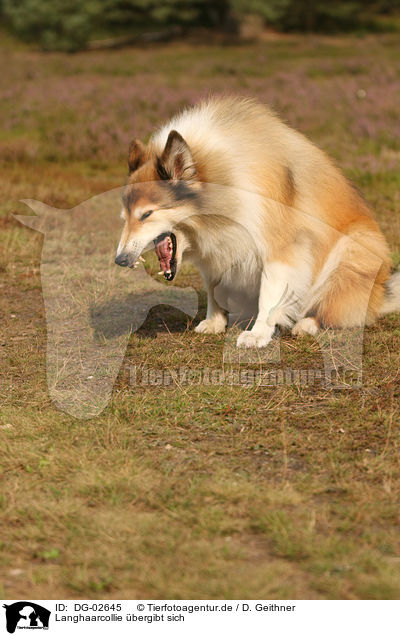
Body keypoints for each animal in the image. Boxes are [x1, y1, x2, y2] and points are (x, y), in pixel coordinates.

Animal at [115, 95, 400, 348]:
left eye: (146, 214)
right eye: (124, 217)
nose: (120, 260)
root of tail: (380, 297)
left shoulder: (281, 250)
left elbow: (269, 296)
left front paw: (257, 335)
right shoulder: (216, 252)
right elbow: (214, 290)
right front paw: (215, 323)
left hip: (352, 253)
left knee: (332, 311)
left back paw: (305, 325)